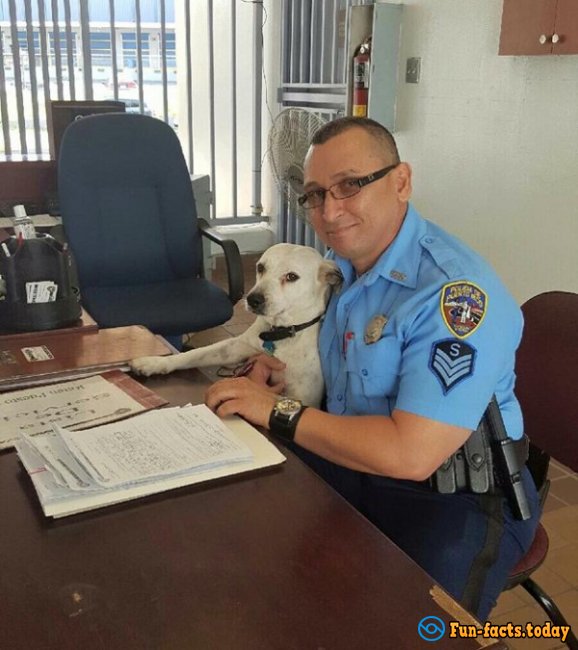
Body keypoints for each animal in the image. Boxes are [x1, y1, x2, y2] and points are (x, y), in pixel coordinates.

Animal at [128, 243, 340, 404]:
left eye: (292, 277)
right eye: (261, 267)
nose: (253, 299)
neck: (281, 332)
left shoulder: (303, 397)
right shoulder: (235, 346)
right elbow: (191, 355)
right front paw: (153, 362)